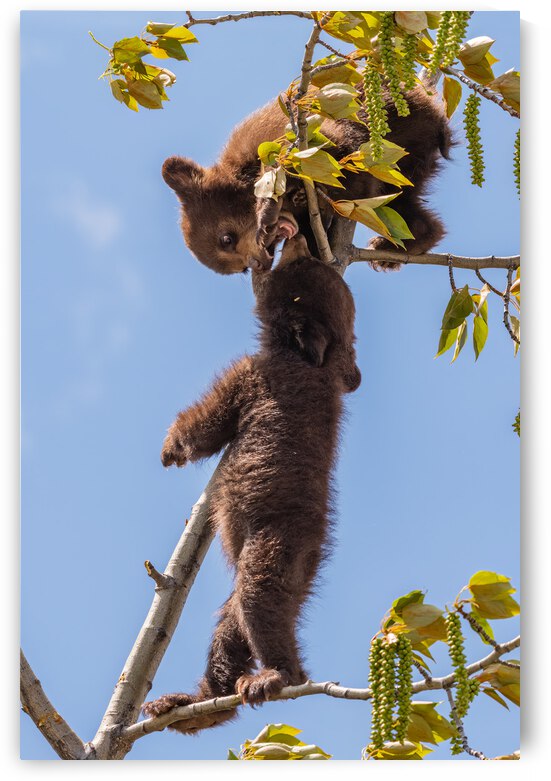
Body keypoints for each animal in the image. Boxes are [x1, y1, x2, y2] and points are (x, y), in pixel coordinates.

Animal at [142, 235, 361, 734]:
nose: (295, 243)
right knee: (231, 624)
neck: (314, 360)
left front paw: (170, 448)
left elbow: (207, 424)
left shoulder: (253, 375)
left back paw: (278, 675)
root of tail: (312, 555)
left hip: (276, 541)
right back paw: (196, 702)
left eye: (294, 275)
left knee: (258, 597)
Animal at [162, 83, 451, 275]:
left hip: (397, 125)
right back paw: (398, 246)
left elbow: (327, 146)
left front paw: (270, 207)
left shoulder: (275, 136)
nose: (258, 264)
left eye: (226, 240)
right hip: (411, 164)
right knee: (400, 203)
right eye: (241, 269)